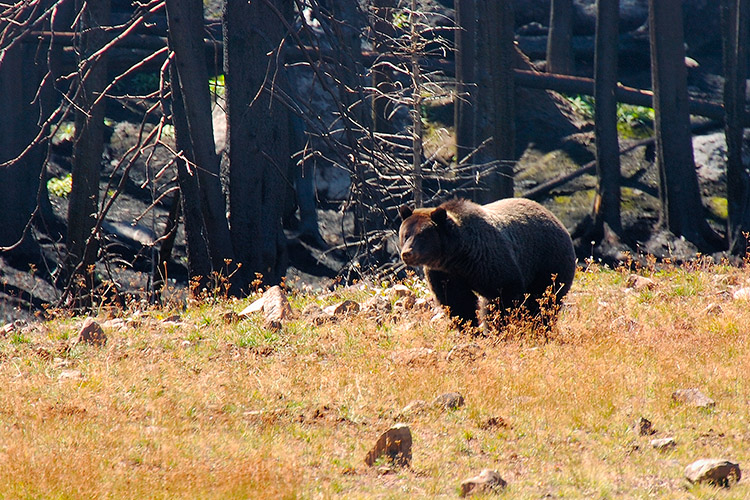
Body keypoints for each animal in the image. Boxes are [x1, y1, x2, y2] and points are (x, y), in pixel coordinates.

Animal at [402, 197, 580, 326]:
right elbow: (456, 300)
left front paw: (502, 326)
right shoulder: (444, 273)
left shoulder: (488, 260)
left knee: (545, 297)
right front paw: (470, 327)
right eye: (405, 234)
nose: (406, 253)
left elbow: (503, 295)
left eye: (422, 235)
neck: (456, 255)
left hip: (548, 261)